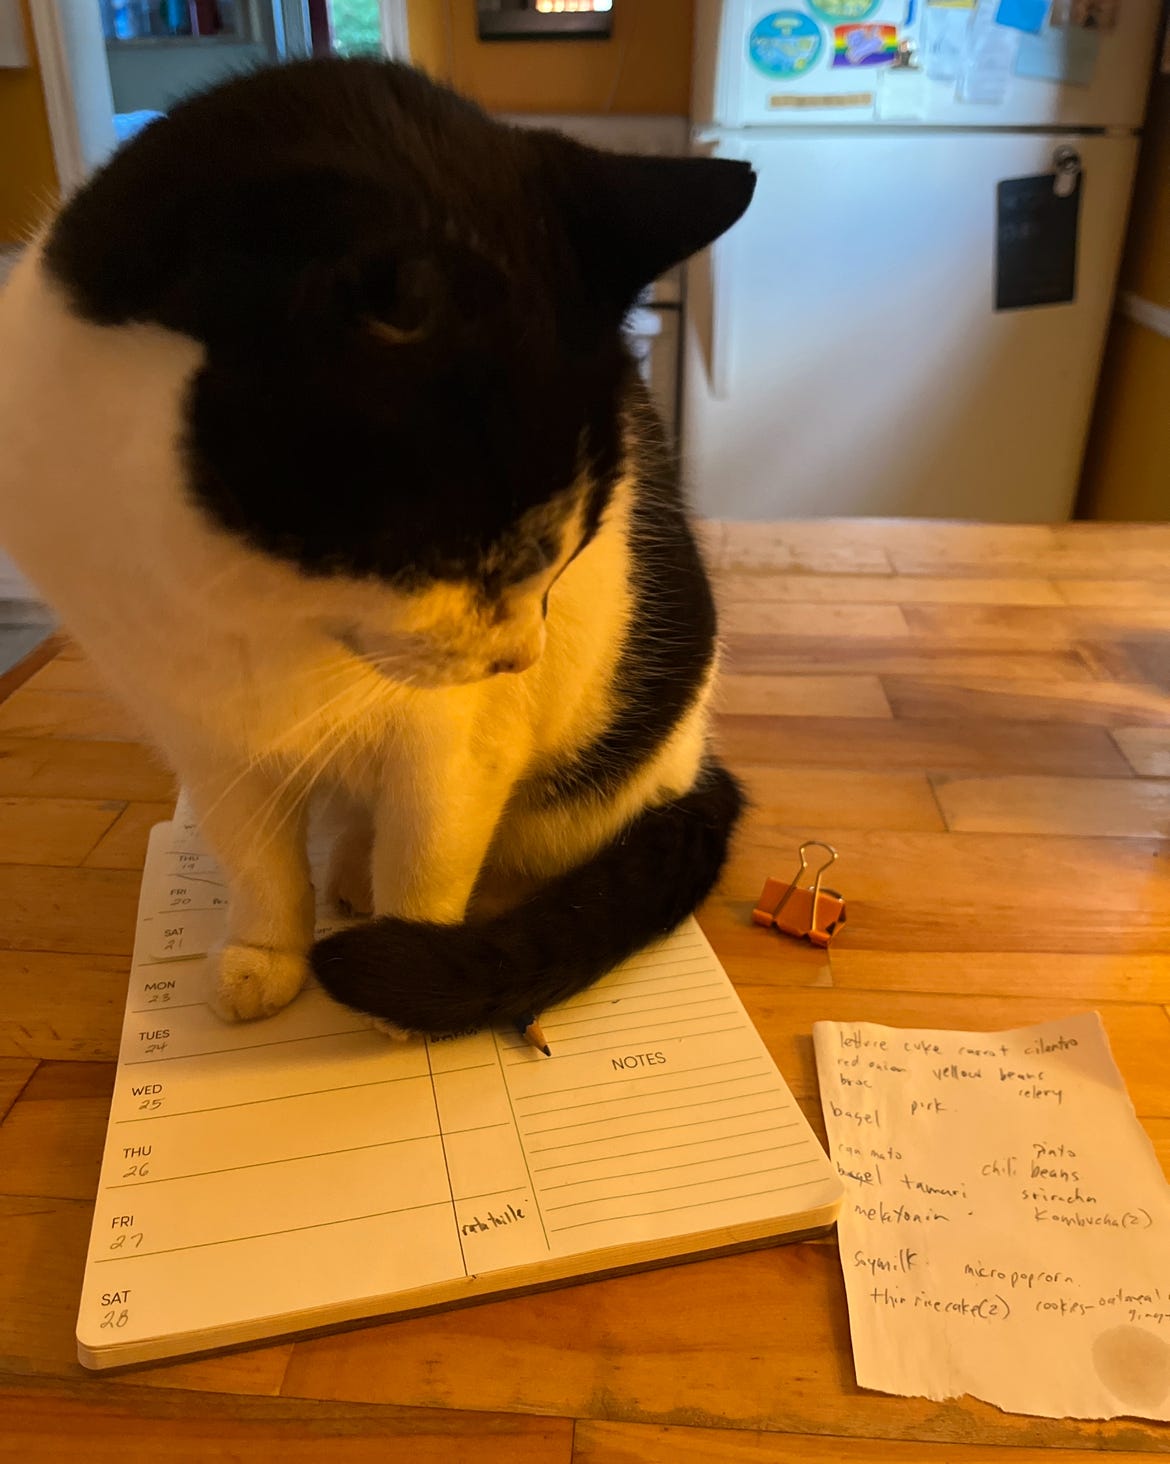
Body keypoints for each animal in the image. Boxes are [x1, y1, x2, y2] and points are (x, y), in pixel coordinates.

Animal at [0, 57, 755, 1036]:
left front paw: (409, 977)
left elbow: (426, 860)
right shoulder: (206, 738)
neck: (250, 600)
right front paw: (266, 952)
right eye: (467, 552)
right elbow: (258, 863)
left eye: (566, 551)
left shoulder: (456, 747)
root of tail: (696, 761)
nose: (520, 657)